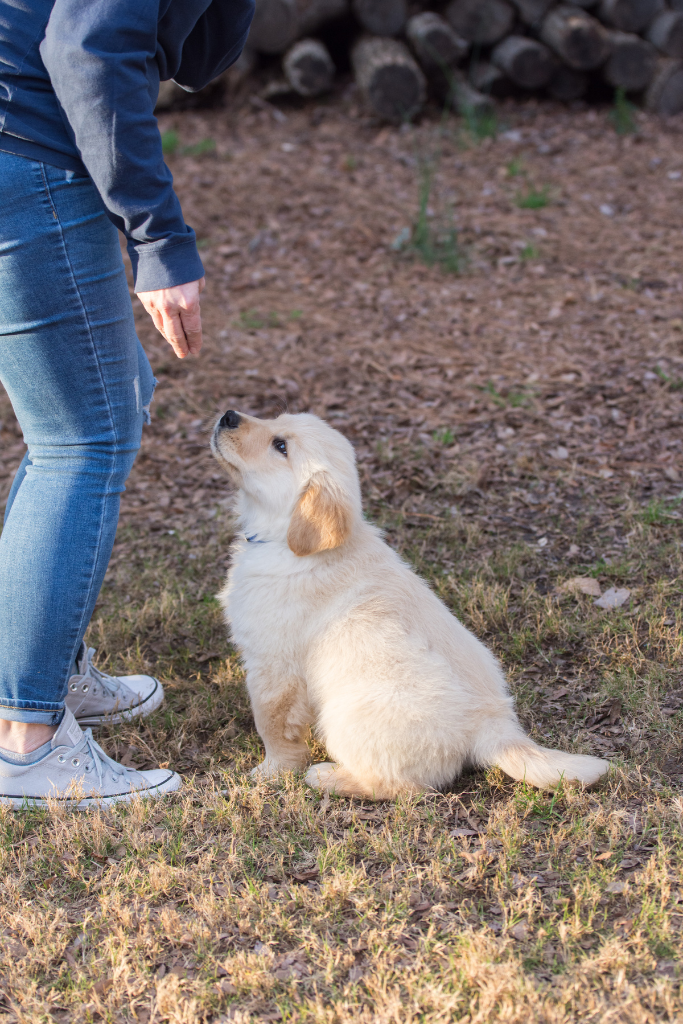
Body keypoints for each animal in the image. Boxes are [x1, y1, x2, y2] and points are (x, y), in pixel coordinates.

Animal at [211, 407, 610, 798]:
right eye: (276, 420)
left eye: (280, 446)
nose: (228, 415)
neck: (285, 541)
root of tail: (494, 727)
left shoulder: (273, 666)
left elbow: (273, 725)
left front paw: (272, 772)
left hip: (346, 715)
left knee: (399, 787)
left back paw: (328, 778)